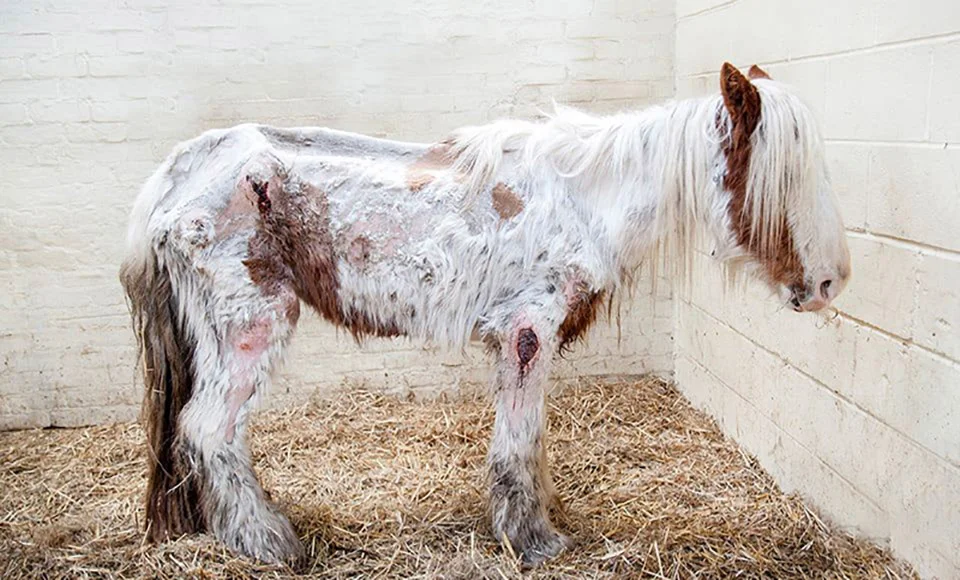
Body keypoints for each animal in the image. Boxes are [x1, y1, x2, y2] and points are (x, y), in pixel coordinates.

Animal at [119, 63, 851, 567]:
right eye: (782, 176)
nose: (829, 283)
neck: (585, 199)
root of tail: (176, 175)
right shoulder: (528, 333)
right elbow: (519, 440)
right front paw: (532, 540)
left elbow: (531, 439)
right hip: (249, 328)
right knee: (209, 430)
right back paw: (268, 542)